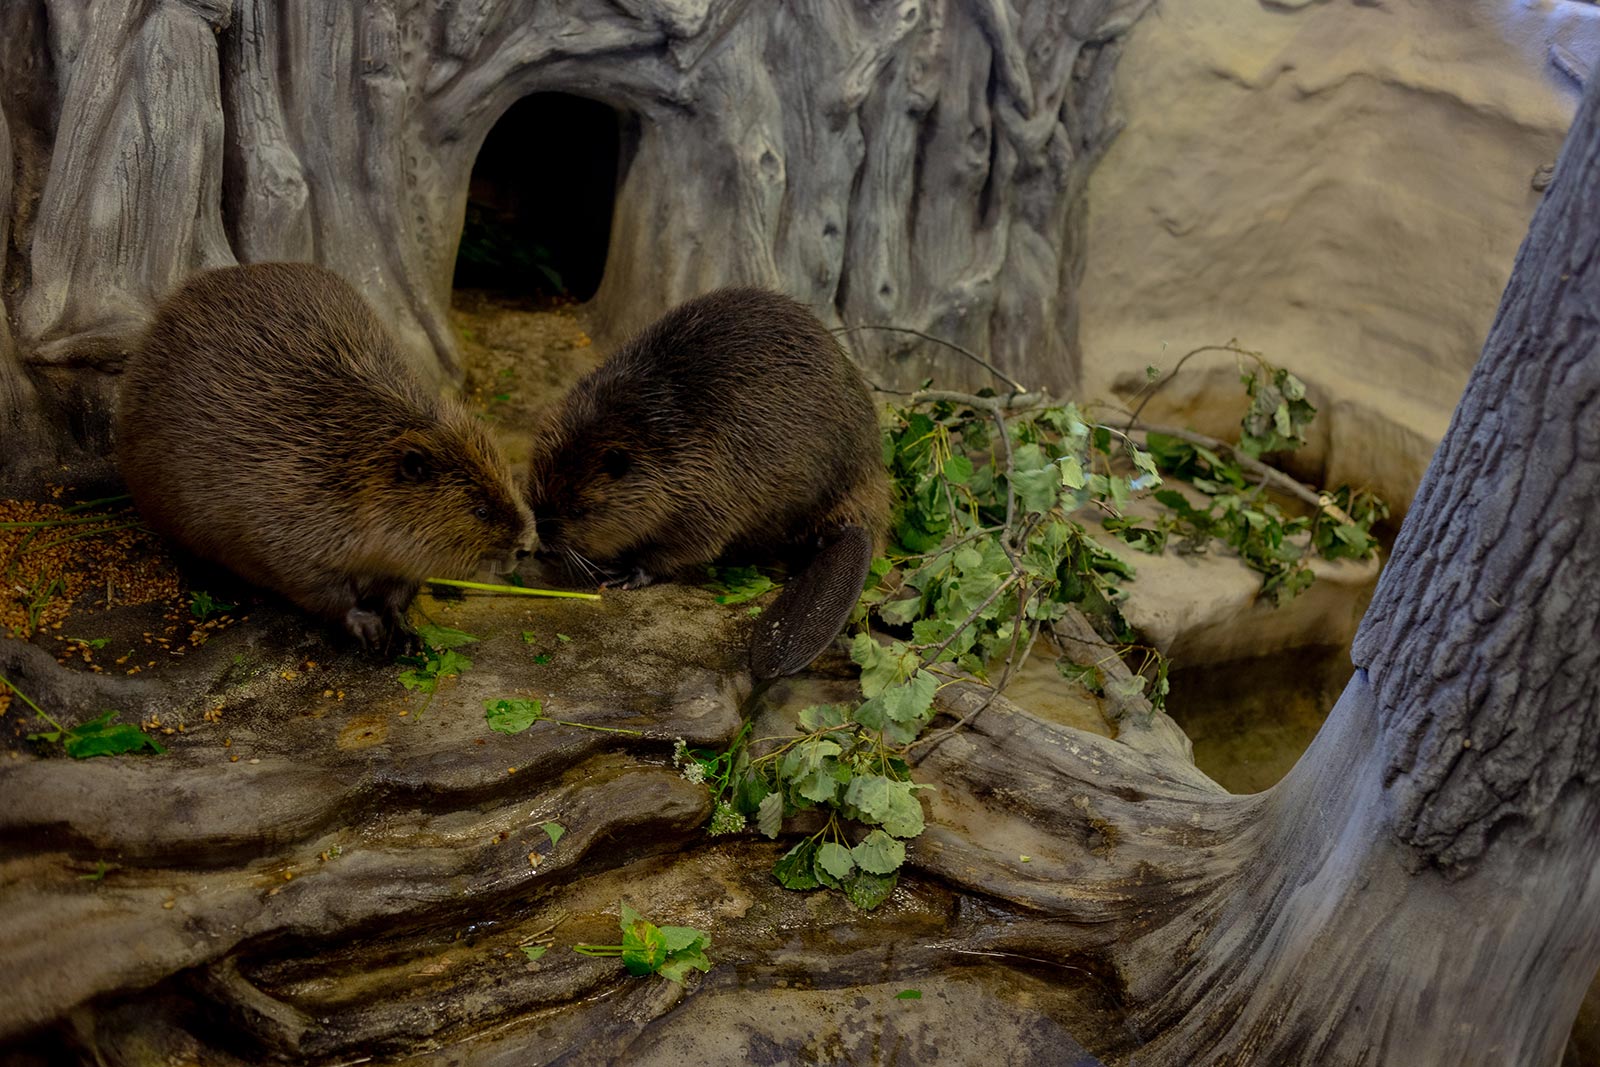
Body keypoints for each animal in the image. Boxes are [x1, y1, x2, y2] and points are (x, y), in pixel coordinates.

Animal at [116, 262, 537, 655]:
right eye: (481, 510)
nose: (526, 546)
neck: (349, 455)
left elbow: (400, 587)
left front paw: (404, 634)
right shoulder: (281, 516)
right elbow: (312, 583)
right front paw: (367, 628)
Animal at [521, 287, 889, 681]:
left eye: (579, 509)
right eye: (535, 496)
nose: (547, 540)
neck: (661, 431)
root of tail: (853, 526)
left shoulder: (711, 487)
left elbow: (692, 545)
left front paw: (626, 572)